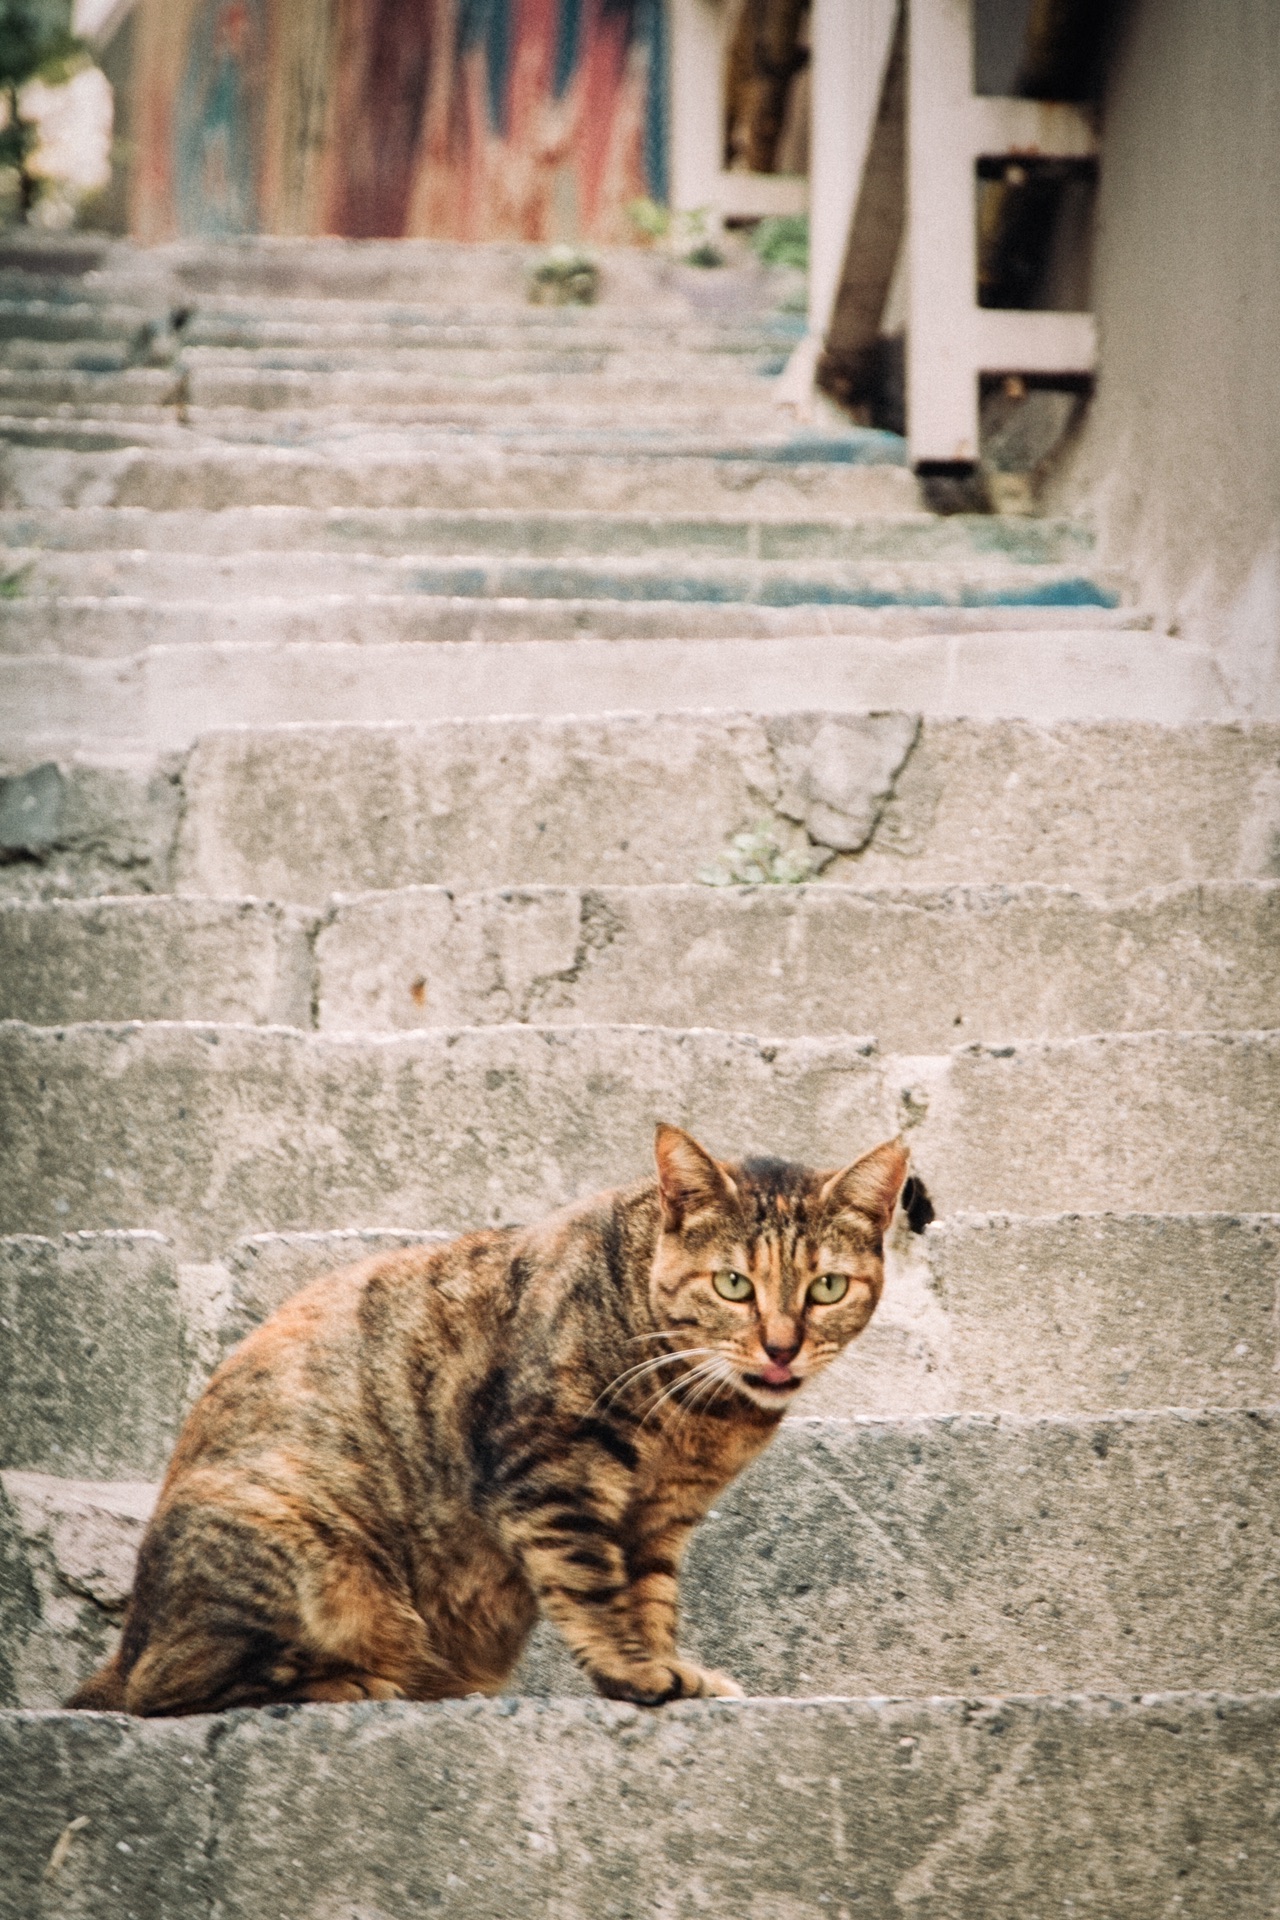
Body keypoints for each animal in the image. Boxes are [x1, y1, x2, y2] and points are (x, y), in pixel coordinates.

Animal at [72, 1121, 909, 1720]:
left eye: (827, 1288)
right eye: (734, 1284)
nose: (781, 1346)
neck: (697, 1412)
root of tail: (128, 1642)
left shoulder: (660, 1517)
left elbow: (650, 1599)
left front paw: (667, 1668)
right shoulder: (550, 1473)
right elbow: (593, 1589)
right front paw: (634, 1671)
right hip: (307, 1549)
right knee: (166, 1689)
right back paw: (358, 1683)